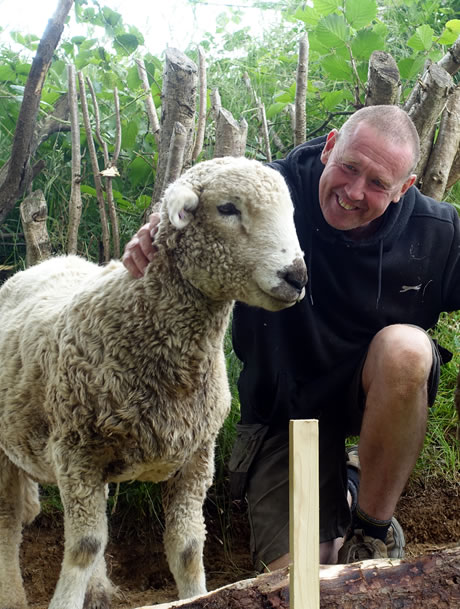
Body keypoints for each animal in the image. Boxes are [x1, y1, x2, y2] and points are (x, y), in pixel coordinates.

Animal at [0, 157, 308, 608]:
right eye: (228, 208)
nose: (296, 276)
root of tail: (46, 263)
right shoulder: (75, 452)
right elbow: (83, 546)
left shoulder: (197, 458)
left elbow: (188, 548)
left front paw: (197, 595)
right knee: (9, 521)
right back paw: (13, 594)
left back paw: (98, 589)